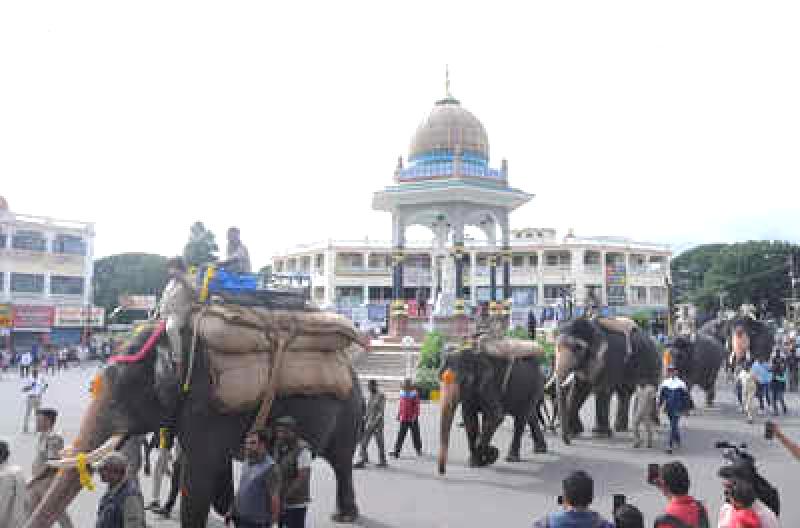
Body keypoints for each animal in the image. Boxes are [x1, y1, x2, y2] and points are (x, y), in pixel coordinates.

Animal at [24, 318, 362, 528]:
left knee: (341, 461)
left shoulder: (205, 405)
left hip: (349, 411)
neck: (175, 344)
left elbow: (198, 476)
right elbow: (198, 466)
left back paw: (344, 516)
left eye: (121, 395)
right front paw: (223, 505)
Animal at [556, 318, 664, 446]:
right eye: (557, 347)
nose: (568, 442)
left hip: (654, 365)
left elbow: (602, 390)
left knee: (648, 392)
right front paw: (574, 432)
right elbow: (578, 390)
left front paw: (599, 434)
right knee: (624, 392)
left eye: (578, 348)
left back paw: (654, 423)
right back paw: (620, 428)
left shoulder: (609, 359)